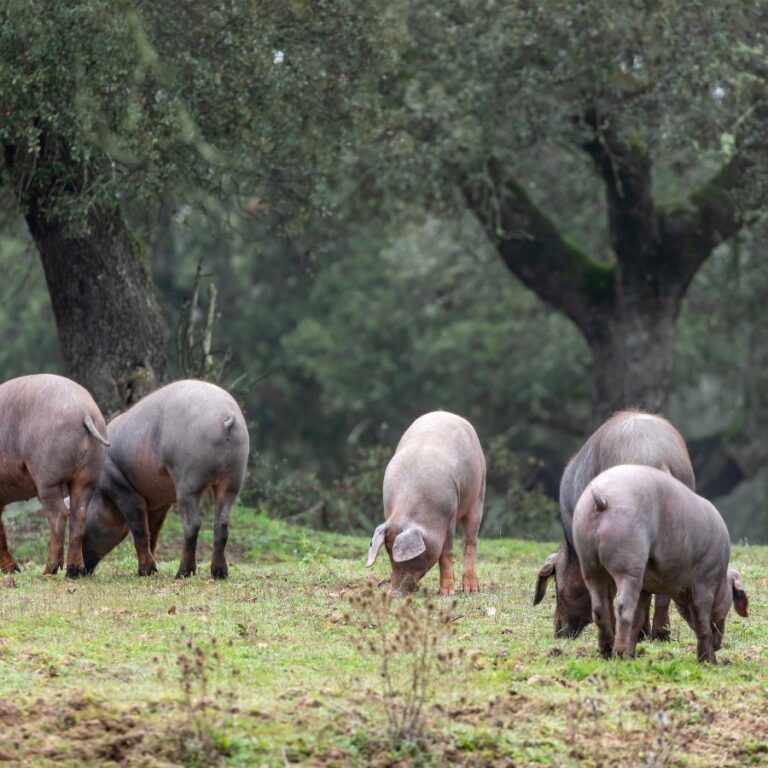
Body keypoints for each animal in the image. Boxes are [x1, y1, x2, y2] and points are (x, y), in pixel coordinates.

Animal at [0, 374, 109, 577]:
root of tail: (85, 412)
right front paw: (13, 570)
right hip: (87, 478)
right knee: (78, 515)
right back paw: (73, 572)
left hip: (48, 479)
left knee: (59, 515)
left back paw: (48, 571)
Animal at [80, 379, 249, 579]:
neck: (100, 495)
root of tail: (226, 416)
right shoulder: (159, 503)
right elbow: (153, 532)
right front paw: (151, 569)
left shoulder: (125, 493)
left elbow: (139, 531)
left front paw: (145, 571)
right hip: (231, 484)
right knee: (221, 524)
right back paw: (219, 573)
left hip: (188, 487)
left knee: (192, 525)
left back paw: (183, 572)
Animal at [365, 411, 485, 595]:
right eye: (389, 553)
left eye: (413, 557)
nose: (395, 592)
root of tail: (448, 413)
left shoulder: (449, 514)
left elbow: (446, 552)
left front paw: (447, 592)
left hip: (479, 491)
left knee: (470, 541)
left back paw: (471, 590)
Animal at [572, 464, 748, 663]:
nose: (719, 646)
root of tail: (601, 498)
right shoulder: (705, 582)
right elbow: (702, 622)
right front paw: (710, 663)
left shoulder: (646, 587)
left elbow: (639, 617)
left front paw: (633, 655)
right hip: (628, 562)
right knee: (623, 606)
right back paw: (620, 654)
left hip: (588, 562)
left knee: (599, 608)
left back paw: (608, 653)